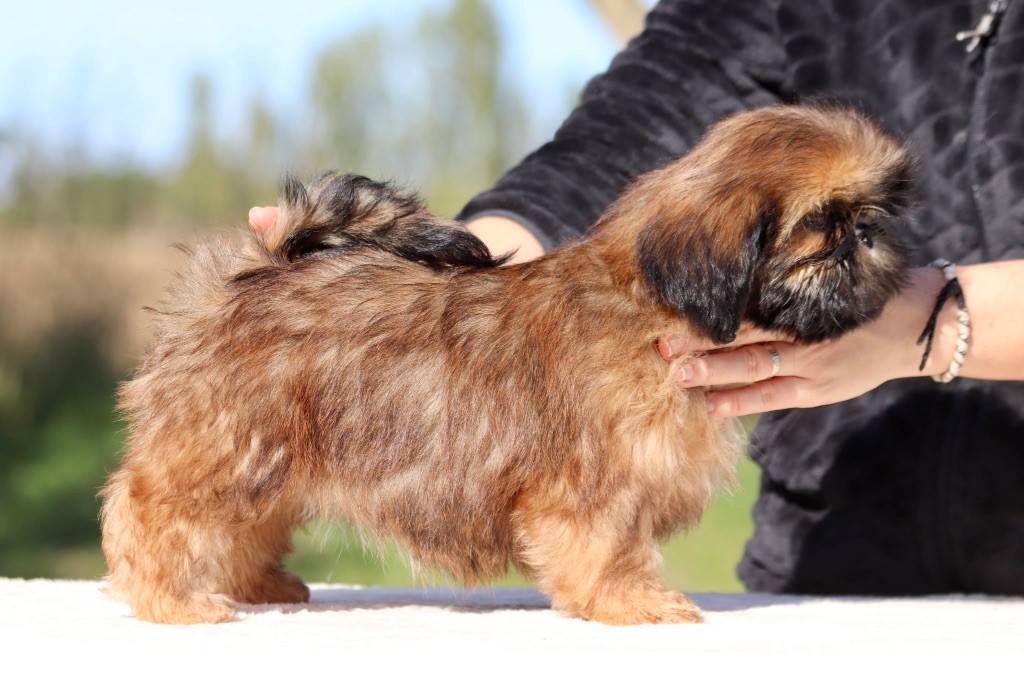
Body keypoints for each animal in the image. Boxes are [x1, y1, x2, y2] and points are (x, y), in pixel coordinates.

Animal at [101, 105, 910, 625]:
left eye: (865, 216)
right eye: (822, 226)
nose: (869, 234)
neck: (654, 306)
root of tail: (250, 274)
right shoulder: (596, 485)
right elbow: (610, 546)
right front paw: (632, 601)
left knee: (237, 530)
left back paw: (257, 585)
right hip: (227, 450)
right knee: (150, 514)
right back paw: (174, 601)